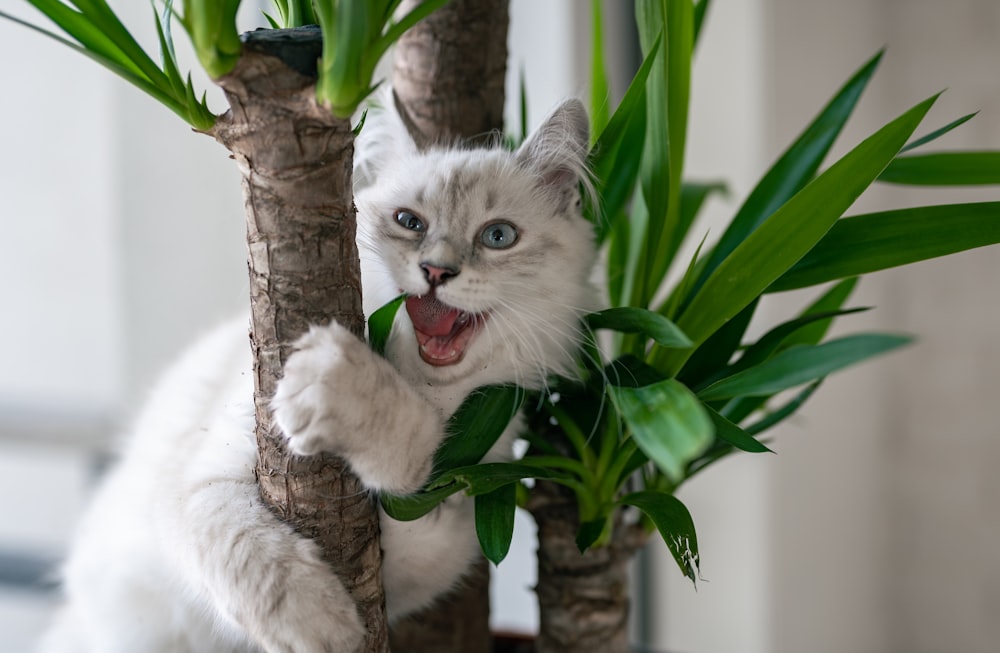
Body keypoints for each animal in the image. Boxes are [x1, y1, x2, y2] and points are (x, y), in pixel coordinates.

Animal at [41, 98, 592, 652]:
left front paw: (344, 390)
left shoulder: (447, 517)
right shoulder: (198, 482)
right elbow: (248, 551)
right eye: (409, 222)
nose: (437, 271)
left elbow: (411, 455)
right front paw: (322, 628)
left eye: (498, 237)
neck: (422, 389)